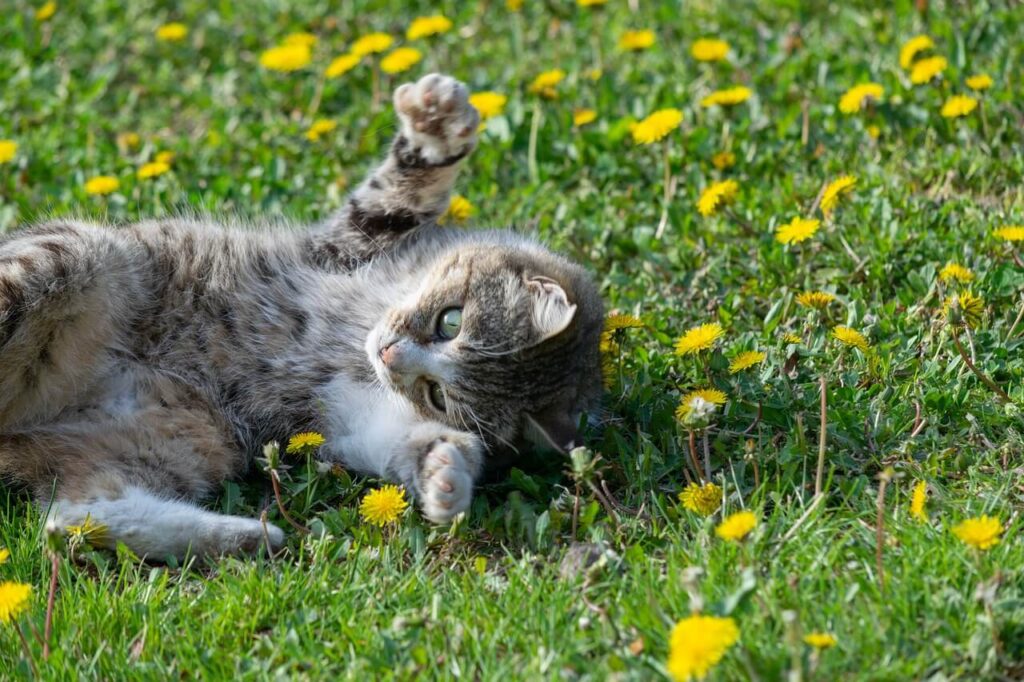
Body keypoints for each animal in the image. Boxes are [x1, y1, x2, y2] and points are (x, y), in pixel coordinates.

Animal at [0, 73, 602, 557]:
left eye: (438, 396)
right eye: (450, 322)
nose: (389, 354)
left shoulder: (341, 413)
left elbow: (391, 442)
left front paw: (444, 471)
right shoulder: (343, 247)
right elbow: (397, 196)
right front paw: (437, 122)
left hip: (181, 439)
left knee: (76, 517)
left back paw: (247, 536)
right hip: (68, 259)